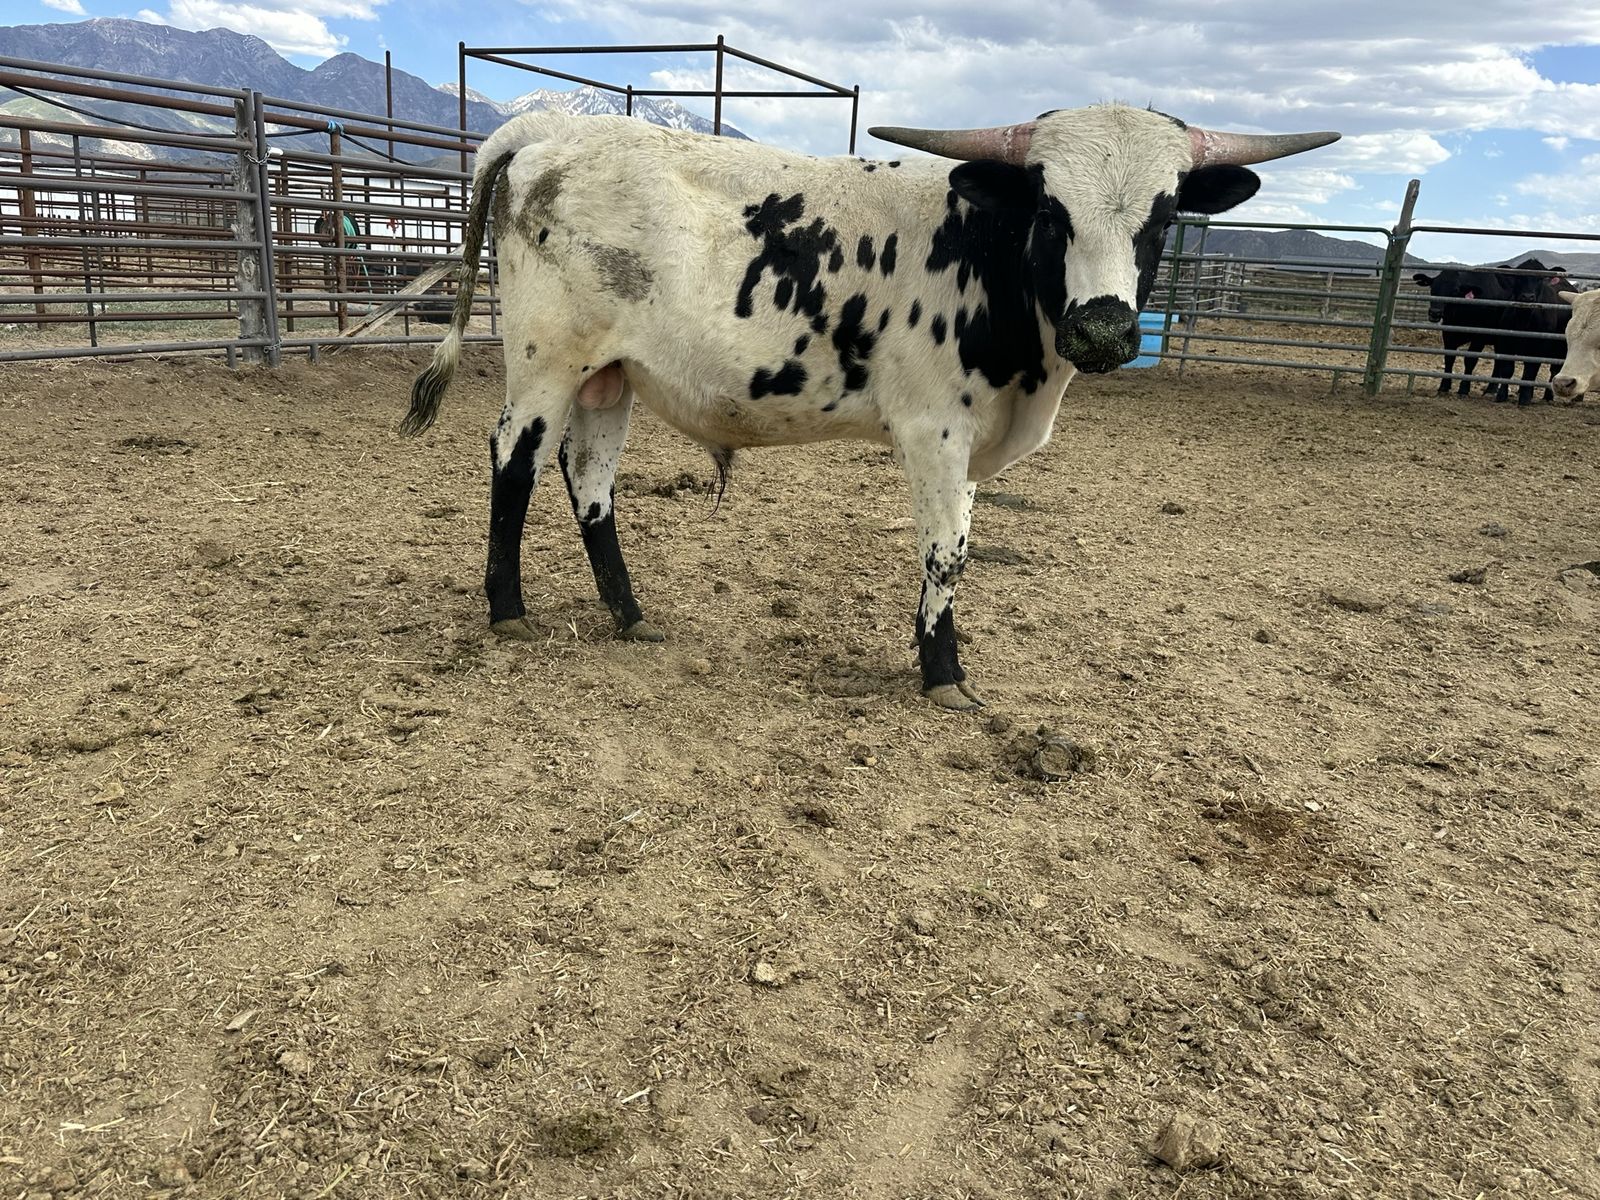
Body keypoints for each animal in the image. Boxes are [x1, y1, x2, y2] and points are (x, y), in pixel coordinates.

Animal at [400, 105, 1338, 709]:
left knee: (589, 480)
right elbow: (948, 553)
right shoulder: (935, 431)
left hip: (611, 376)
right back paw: (508, 610)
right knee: (515, 461)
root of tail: (554, 126)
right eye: (1050, 207)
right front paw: (943, 674)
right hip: (545, 363)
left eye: (1165, 213)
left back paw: (630, 616)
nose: (1103, 329)